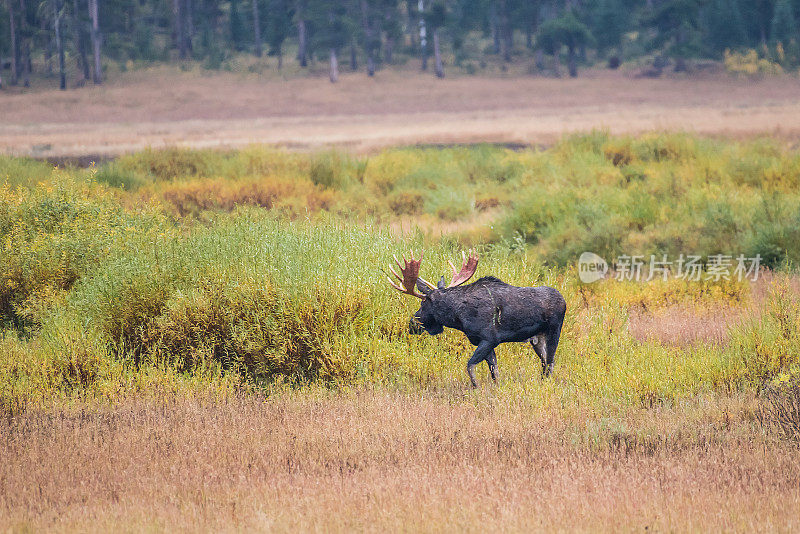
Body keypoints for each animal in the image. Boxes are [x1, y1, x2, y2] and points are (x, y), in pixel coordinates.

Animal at [386, 251, 564, 390]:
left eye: (423, 304)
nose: (412, 323)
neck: (457, 316)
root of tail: (564, 300)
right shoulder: (483, 342)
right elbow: (494, 372)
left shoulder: (490, 339)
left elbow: (470, 366)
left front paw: (476, 388)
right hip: (537, 339)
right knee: (545, 362)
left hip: (554, 331)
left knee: (550, 362)